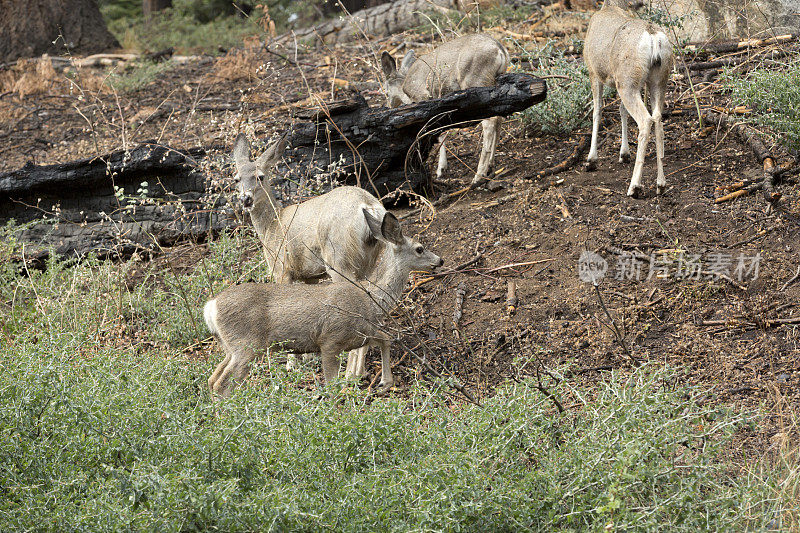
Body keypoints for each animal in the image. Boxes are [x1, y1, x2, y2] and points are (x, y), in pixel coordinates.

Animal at [205, 210, 444, 396]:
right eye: (420, 248)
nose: (440, 260)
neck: (370, 301)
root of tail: (211, 307)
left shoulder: (361, 333)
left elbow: (386, 339)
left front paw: (385, 383)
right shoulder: (330, 340)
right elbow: (331, 386)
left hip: (229, 346)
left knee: (212, 378)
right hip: (246, 344)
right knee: (221, 384)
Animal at [380, 33, 506, 186]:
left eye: (386, 91)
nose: (389, 105)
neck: (405, 90)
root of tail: (500, 51)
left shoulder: (423, 95)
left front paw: (440, 169)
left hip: (476, 81)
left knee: (490, 122)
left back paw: (479, 175)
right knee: (498, 118)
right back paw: (491, 165)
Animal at [584, 0, 672, 197]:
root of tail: (652, 37)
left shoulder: (593, 72)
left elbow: (597, 111)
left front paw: (591, 159)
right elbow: (621, 110)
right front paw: (624, 153)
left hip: (627, 81)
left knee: (645, 120)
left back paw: (634, 186)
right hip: (658, 80)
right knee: (658, 120)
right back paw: (661, 184)